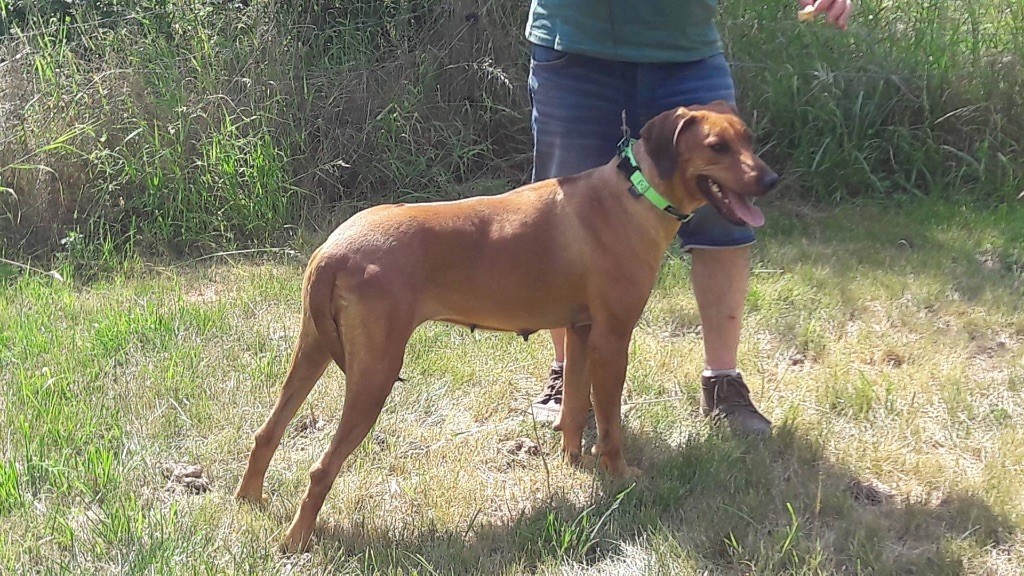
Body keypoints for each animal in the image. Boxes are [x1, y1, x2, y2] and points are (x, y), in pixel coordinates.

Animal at [234, 101, 779, 551]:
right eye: (716, 147)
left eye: (750, 139)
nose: (771, 180)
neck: (636, 193)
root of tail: (333, 250)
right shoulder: (612, 338)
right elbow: (610, 425)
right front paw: (620, 476)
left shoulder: (581, 333)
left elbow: (574, 409)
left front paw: (574, 466)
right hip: (375, 374)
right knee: (320, 468)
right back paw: (295, 541)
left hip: (312, 351)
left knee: (266, 432)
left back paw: (248, 502)